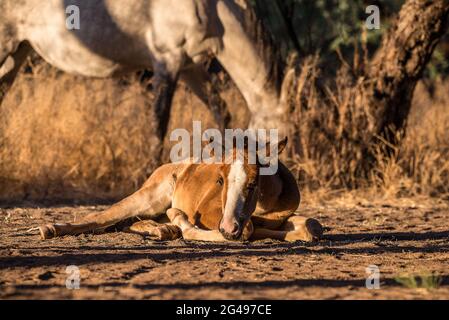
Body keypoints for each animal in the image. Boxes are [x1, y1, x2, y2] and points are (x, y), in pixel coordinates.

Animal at [0, 0, 290, 139]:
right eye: (284, 141)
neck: (209, 9)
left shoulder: (190, 68)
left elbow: (222, 113)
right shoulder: (167, 62)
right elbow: (158, 124)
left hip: (17, 54)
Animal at [39, 136, 322, 241]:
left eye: (253, 183)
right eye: (220, 180)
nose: (228, 228)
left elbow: (311, 227)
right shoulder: (210, 215)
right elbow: (246, 230)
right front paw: (181, 221)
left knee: (128, 223)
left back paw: (161, 230)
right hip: (148, 198)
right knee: (100, 217)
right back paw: (50, 228)